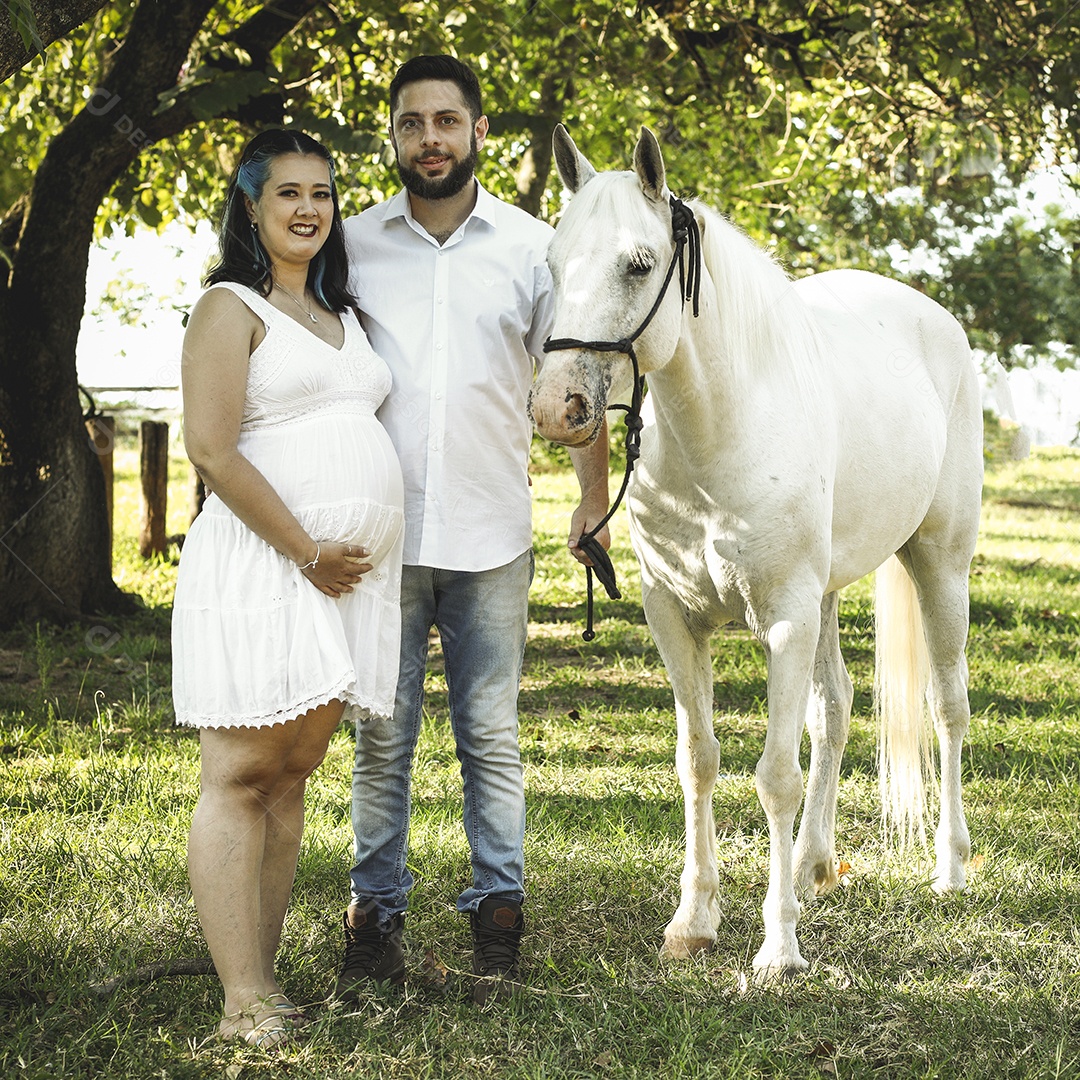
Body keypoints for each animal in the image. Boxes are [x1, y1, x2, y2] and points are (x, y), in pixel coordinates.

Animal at [527, 126, 984, 980]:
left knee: (947, 710)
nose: (555, 407)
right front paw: (693, 922)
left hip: (938, 567)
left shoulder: (784, 620)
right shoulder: (675, 621)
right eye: (552, 260)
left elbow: (774, 775)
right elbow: (698, 759)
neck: (719, 436)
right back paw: (812, 866)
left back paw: (948, 869)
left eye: (638, 263)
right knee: (835, 710)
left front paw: (778, 947)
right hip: (829, 599)